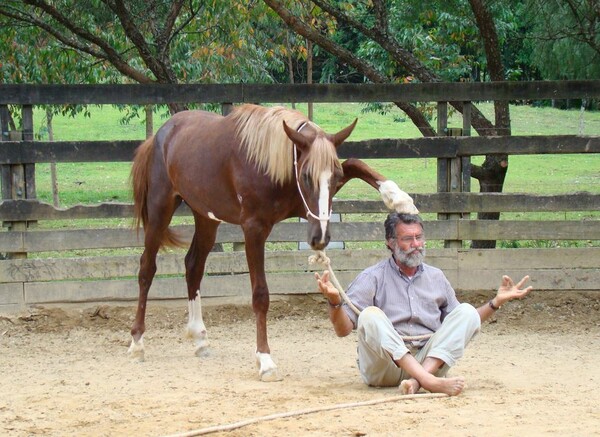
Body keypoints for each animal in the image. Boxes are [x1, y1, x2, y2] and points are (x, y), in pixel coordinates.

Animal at [127, 104, 418, 380]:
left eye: (334, 178)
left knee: (193, 266)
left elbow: (355, 163)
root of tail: (160, 135)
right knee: (146, 269)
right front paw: (265, 359)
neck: (272, 163)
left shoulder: (302, 206)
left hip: (206, 217)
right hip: (160, 209)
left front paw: (400, 199)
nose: (320, 238)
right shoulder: (254, 230)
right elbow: (260, 295)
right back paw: (137, 342)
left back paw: (200, 338)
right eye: (306, 176)